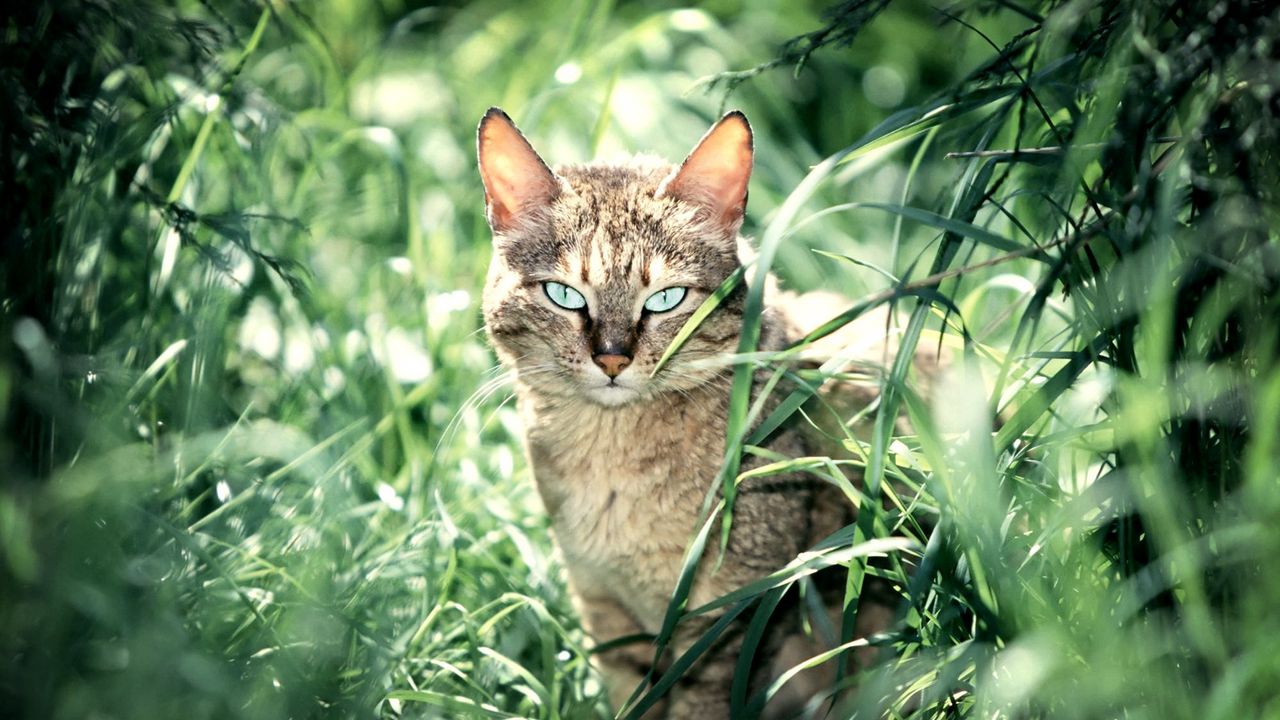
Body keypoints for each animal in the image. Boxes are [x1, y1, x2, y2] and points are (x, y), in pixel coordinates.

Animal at [478, 107, 911, 717]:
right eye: (564, 295)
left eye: (665, 299)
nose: (612, 357)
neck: (612, 464)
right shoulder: (608, 613)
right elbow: (631, 698)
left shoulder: (731, 618)